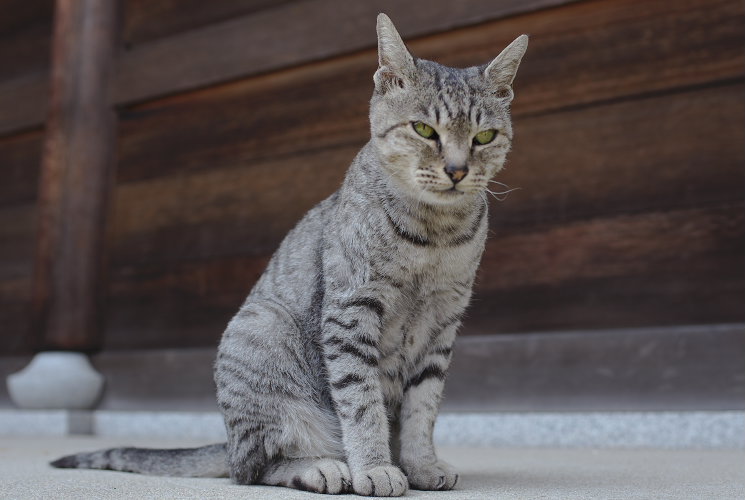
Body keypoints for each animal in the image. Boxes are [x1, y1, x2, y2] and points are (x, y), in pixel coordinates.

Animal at [49, 13, 528, 498]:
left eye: (484, 136)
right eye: (425, 130)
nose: (457, 170)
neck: (435, 234)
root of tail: (226, 443)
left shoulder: (443, 323)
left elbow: (422, 409)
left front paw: (420, 465)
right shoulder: (352, 310)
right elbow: (361, 403)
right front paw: (376, 466)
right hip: (261, 331)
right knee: (254, 467)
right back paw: (323, 467)